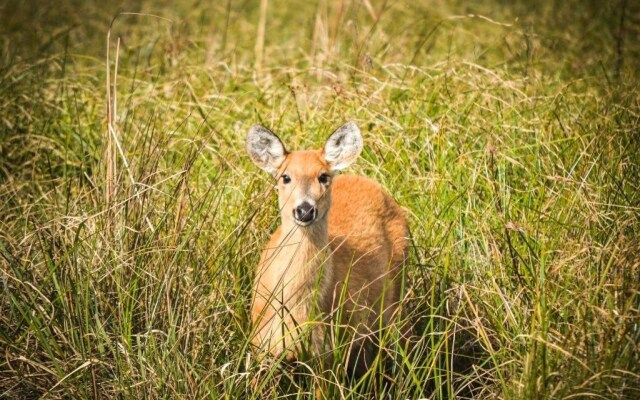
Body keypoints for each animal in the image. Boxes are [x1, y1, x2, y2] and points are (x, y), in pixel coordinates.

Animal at [248, 119, 408, 376]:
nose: (304, 210)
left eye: (323, 176)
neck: (297, 309)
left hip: (394, 297)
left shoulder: (328, 353)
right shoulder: (261, 344)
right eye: (285, 177)